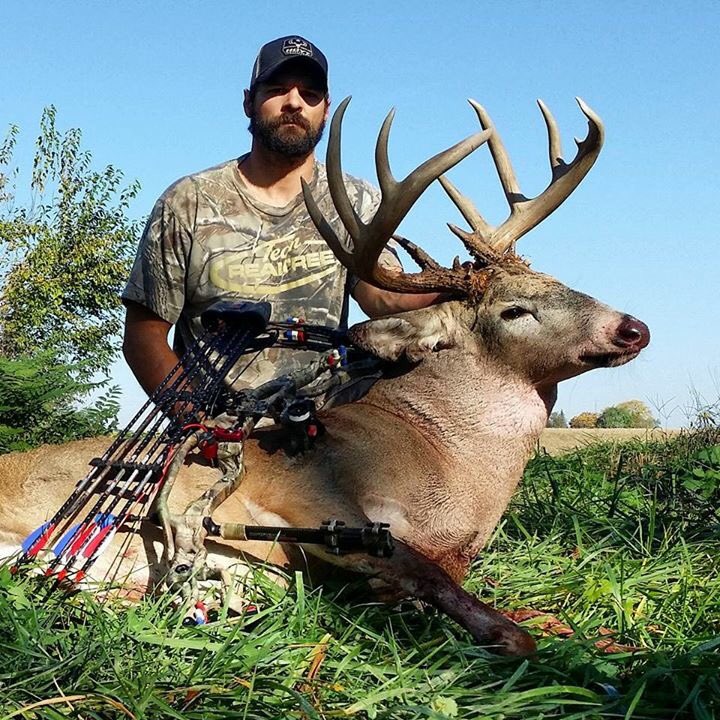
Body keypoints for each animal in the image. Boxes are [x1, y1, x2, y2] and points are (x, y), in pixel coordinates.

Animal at [0, 97, 649, 656]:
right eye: (515, 310)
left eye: (561, 281)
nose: (634, 328)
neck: (454, 466)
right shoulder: (314, 504)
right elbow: (450, 590)